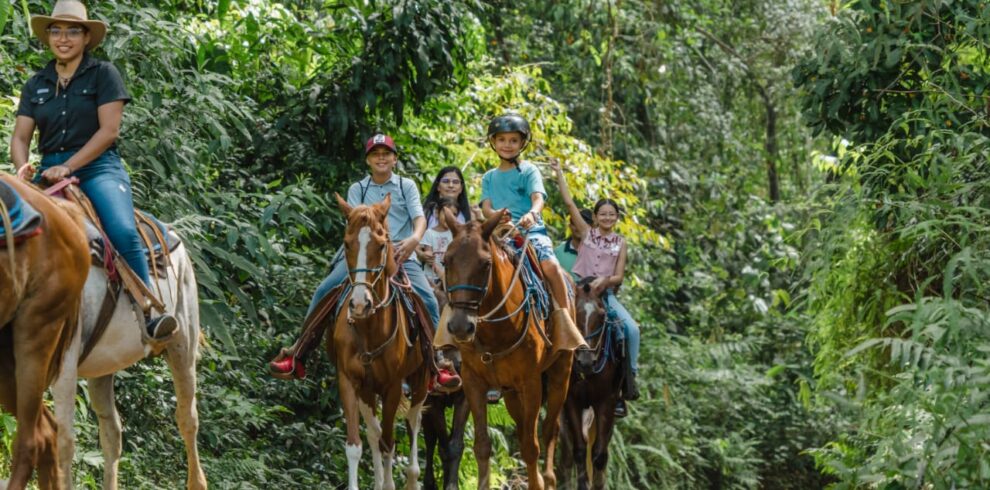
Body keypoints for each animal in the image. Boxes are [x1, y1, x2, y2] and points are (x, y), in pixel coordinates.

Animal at [50, 202, 207, 486]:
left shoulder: (63, 364)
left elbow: (62, 443)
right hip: (102, 367)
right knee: (112, 430)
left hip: (183, 342)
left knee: (187, 418)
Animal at [334, 194, 430, 490]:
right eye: (346, 243)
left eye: (381, 244)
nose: (359, 304)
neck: (368, 329)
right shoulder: (350, 381)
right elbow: (357, 445)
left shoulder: (393, 386)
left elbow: (389, 442)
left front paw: (388, 483)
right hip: (368, 390)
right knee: (375, 434)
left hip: (421, 381)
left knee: (413, 420)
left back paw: (411, 476)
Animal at [444, 210, 576, 490]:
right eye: (446, 261)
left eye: (485, 264)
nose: (460, 325)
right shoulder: (472, 381)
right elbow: (482, 445)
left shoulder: (531, 382)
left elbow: (531, 446)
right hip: (511, 391)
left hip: (560, 374)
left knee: (549, 431)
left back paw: (548, 479)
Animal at [560, 278, 624, 488]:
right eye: (574, 313)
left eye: (603, 315)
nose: (586, 362)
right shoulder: (571, 401)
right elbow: (580, 449)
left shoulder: (606, 402)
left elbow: (599, 454)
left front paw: (597, 483)